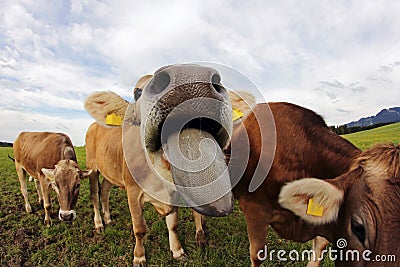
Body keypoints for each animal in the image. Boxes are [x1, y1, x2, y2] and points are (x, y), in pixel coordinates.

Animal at [85, 63, 242, 266]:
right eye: (137, 92)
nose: (189, 79)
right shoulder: (132, 192)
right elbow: (139, 228)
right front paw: (139, 256)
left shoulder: (172, 193)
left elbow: (173, 224)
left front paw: (177, 251)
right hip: (92, 167)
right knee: (95, 196)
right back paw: (98, 223)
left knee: (104, 192)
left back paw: (108, 219)